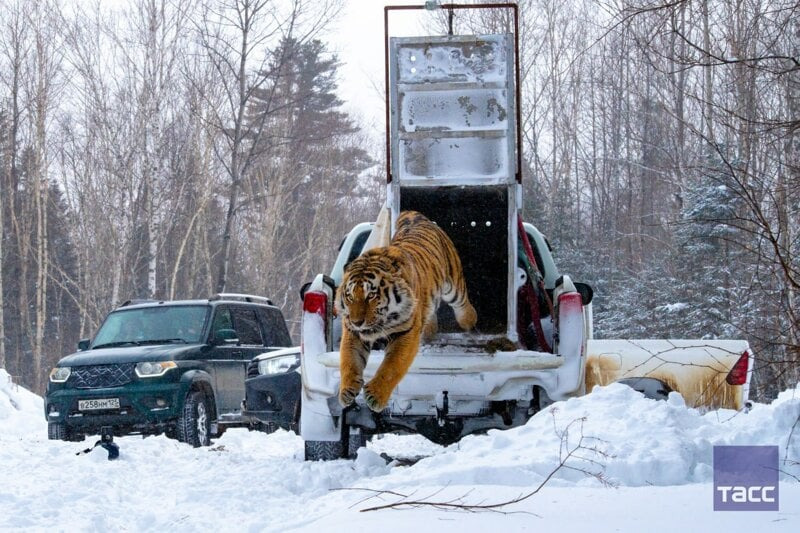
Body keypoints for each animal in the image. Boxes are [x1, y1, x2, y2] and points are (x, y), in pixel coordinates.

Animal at [336, 210, 476, 410]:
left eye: (371, 295)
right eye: (349, 296)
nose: (357, 321)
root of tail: (416, 216)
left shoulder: (406, 333)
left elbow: (391, 366)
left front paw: (375, 396)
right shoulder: (352, 333)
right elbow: (349, 361)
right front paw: (346, 391)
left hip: (453, 283)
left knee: (462, 303)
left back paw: (469, 321)